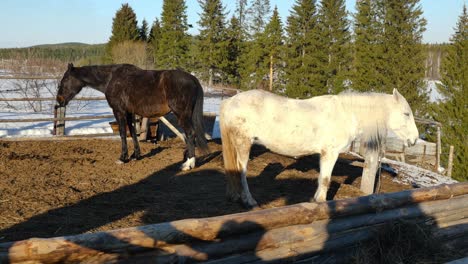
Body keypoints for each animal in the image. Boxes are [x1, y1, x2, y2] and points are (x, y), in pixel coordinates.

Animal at [56, 64, 208, 169]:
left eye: (64, 80)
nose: (59, 100)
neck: (111, 79)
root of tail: (192, 78)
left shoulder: (119, 111)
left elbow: (123, 133)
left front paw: (123, 158)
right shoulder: (129, 112)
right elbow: (133, 132)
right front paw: (136, 155)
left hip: (182, 114)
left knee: (190, 134)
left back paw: (188, 164)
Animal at [220, 89, 420, 208]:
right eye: (406, 114)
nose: (414, 139)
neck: (346, 114)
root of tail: (230, 101)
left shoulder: (324, 154)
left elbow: (322, 178)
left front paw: (315, 200)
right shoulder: (331, 153)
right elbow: (325, 179)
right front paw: (322, 202)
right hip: (244, 143)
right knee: (241, 171)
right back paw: (249, 201)